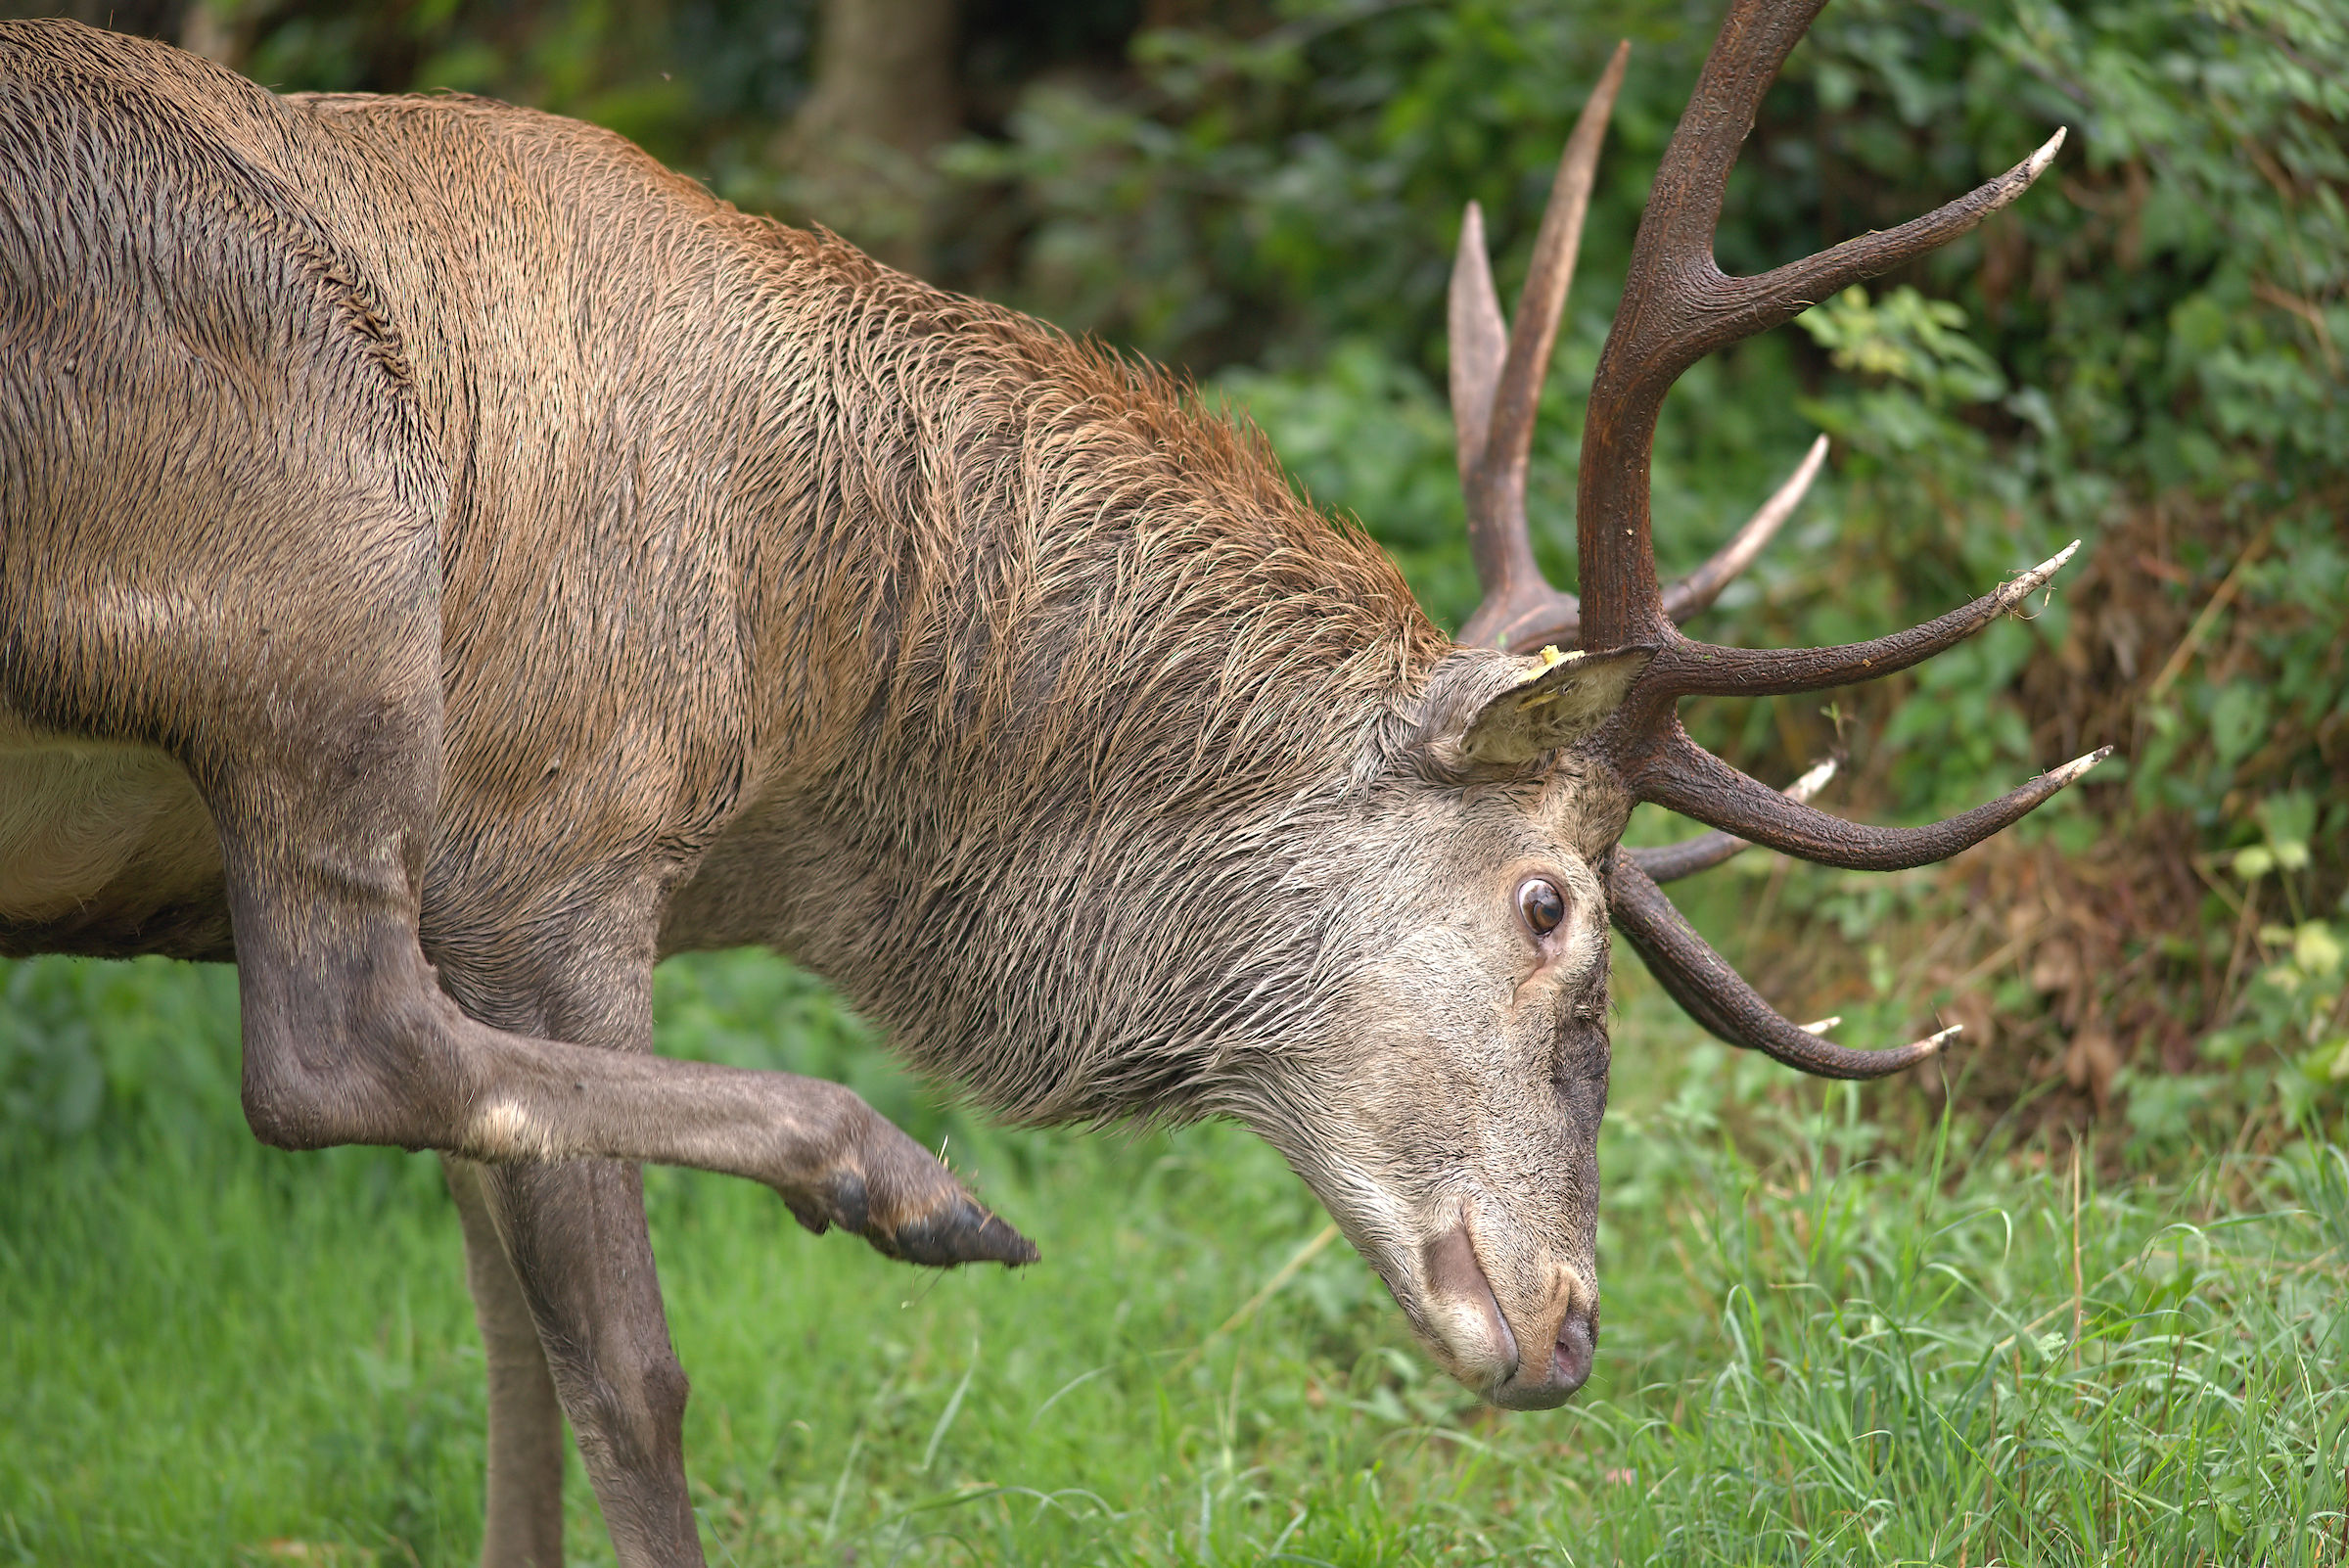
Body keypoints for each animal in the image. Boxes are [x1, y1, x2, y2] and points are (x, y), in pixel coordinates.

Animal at [0, 3, 2100, 1563]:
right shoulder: (553, 848)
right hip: (318, 543)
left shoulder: (494, 905)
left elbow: (503, 1350)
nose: (1574, 1326)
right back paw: (912, 1180)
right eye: (1548, 906)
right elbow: (627, 1376)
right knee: (318, 1048)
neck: (801, 713)